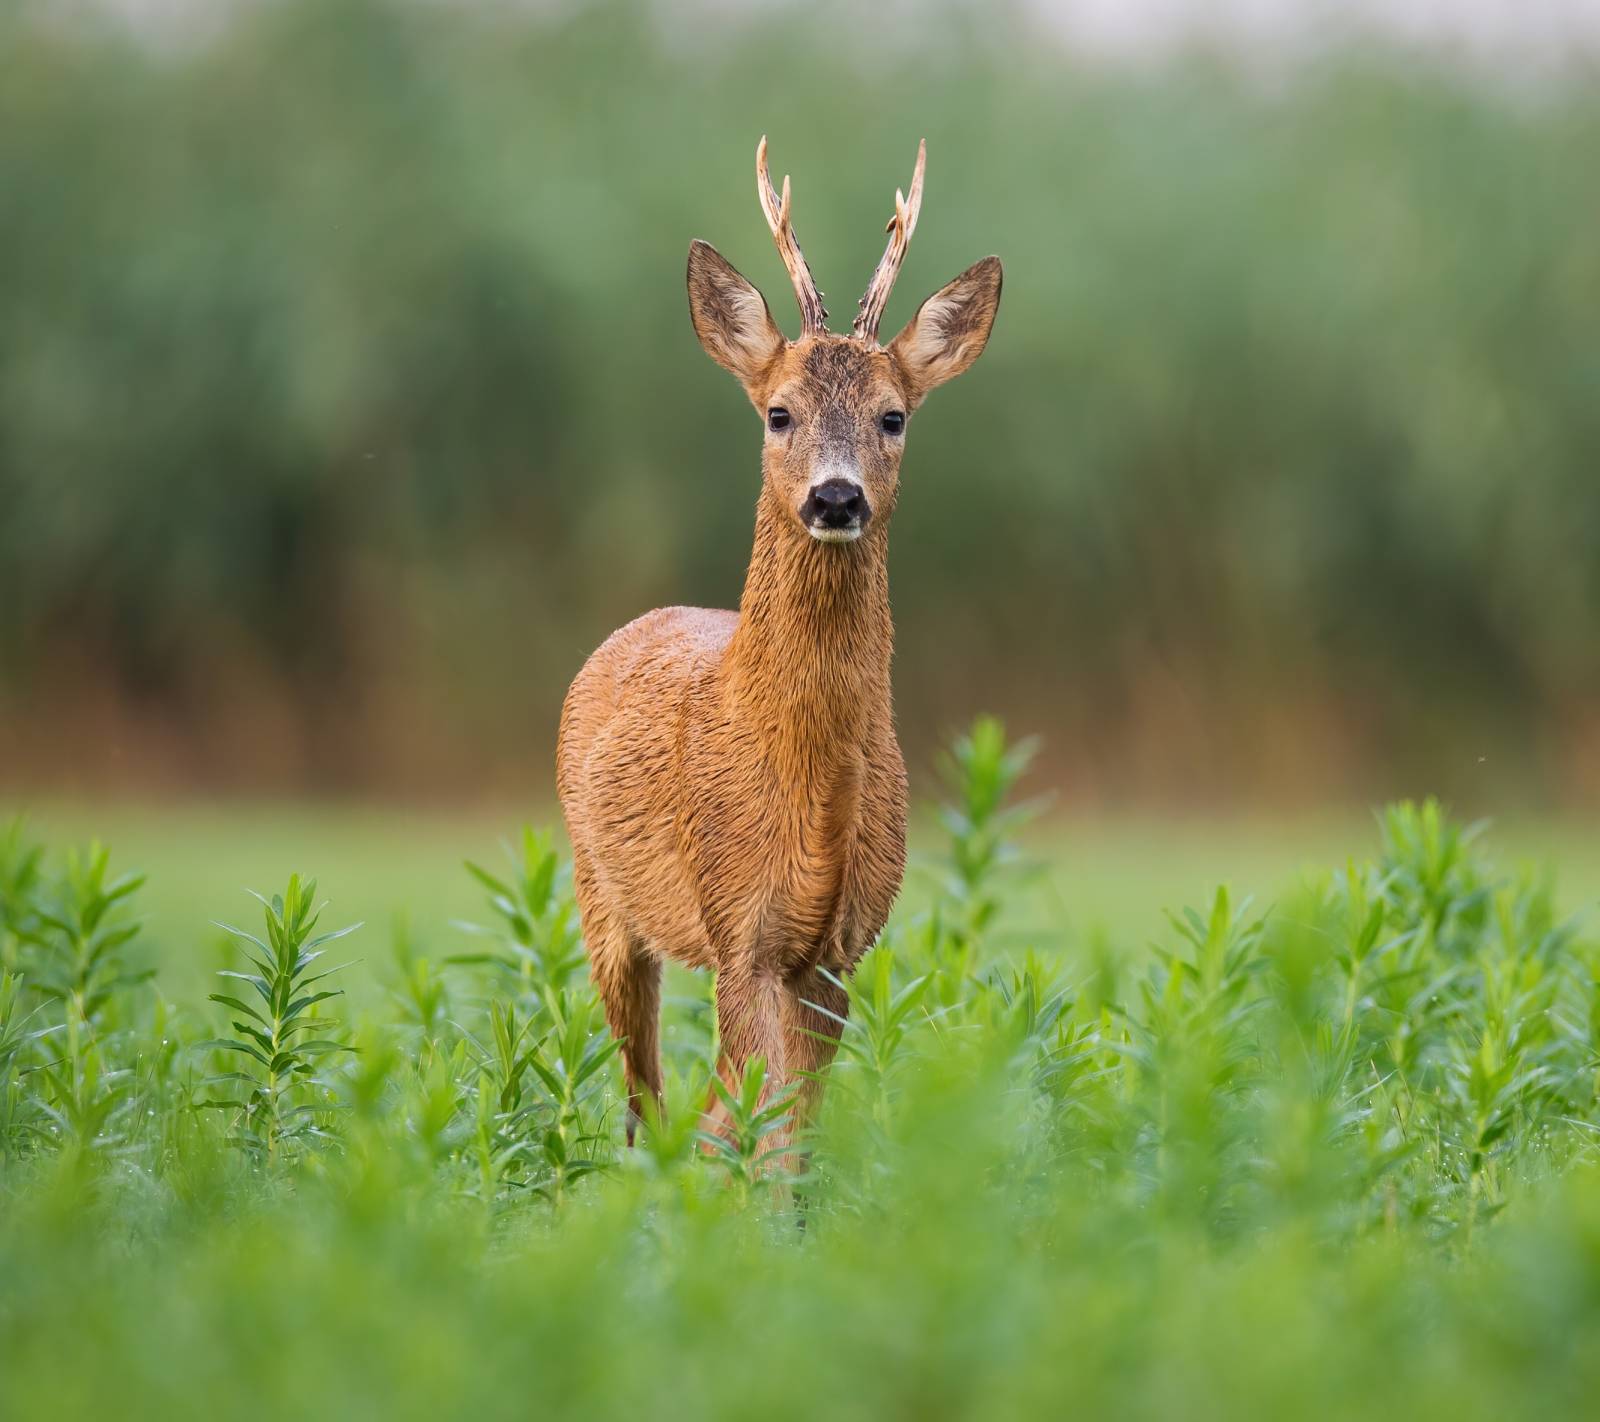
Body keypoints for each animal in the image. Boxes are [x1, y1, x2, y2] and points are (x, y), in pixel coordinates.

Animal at [556, 137, 1002, 1155]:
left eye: (894, 415)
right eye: (778, 413)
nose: (835, 497)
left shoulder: (840, 948)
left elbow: (794, 1130)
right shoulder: (738, 930)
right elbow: (755, 1126)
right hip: (601, 897)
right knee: (646, 1096)